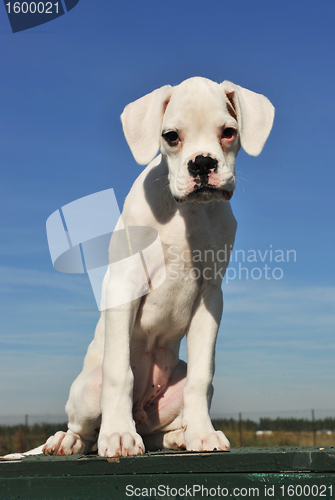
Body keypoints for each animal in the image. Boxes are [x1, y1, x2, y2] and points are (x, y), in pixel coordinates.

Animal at [43, 77, 274, 458]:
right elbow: (120, 372)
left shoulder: (210, 297)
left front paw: (202, 434)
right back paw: (70, 439)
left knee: (155, 430)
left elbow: (201, 376)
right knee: (86, 428)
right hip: (88, 392)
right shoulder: (123, 284)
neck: (187, 212)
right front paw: (119, 436)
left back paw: (178, 436)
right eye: (171, 136)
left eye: (229, 133)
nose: (202, 163)